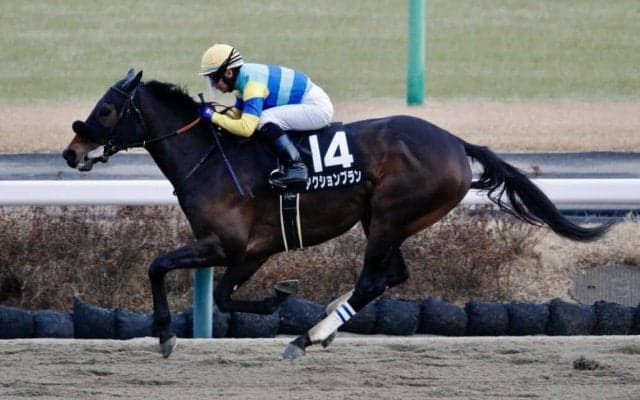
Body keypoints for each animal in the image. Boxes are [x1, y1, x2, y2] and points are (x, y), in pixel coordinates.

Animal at [63, 69, 610, 359]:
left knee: (374, 280)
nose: (71, 152)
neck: (211, 157)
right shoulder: (251, 252)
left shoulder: (226, 245)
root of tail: (457, 143)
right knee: (392, 275)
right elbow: (220, 296)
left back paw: (307, 337)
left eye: (107, 110)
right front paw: (278, 297)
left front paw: (165, 334)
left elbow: (159, 267)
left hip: (391, 215)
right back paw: (326, 319)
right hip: (384, 220)